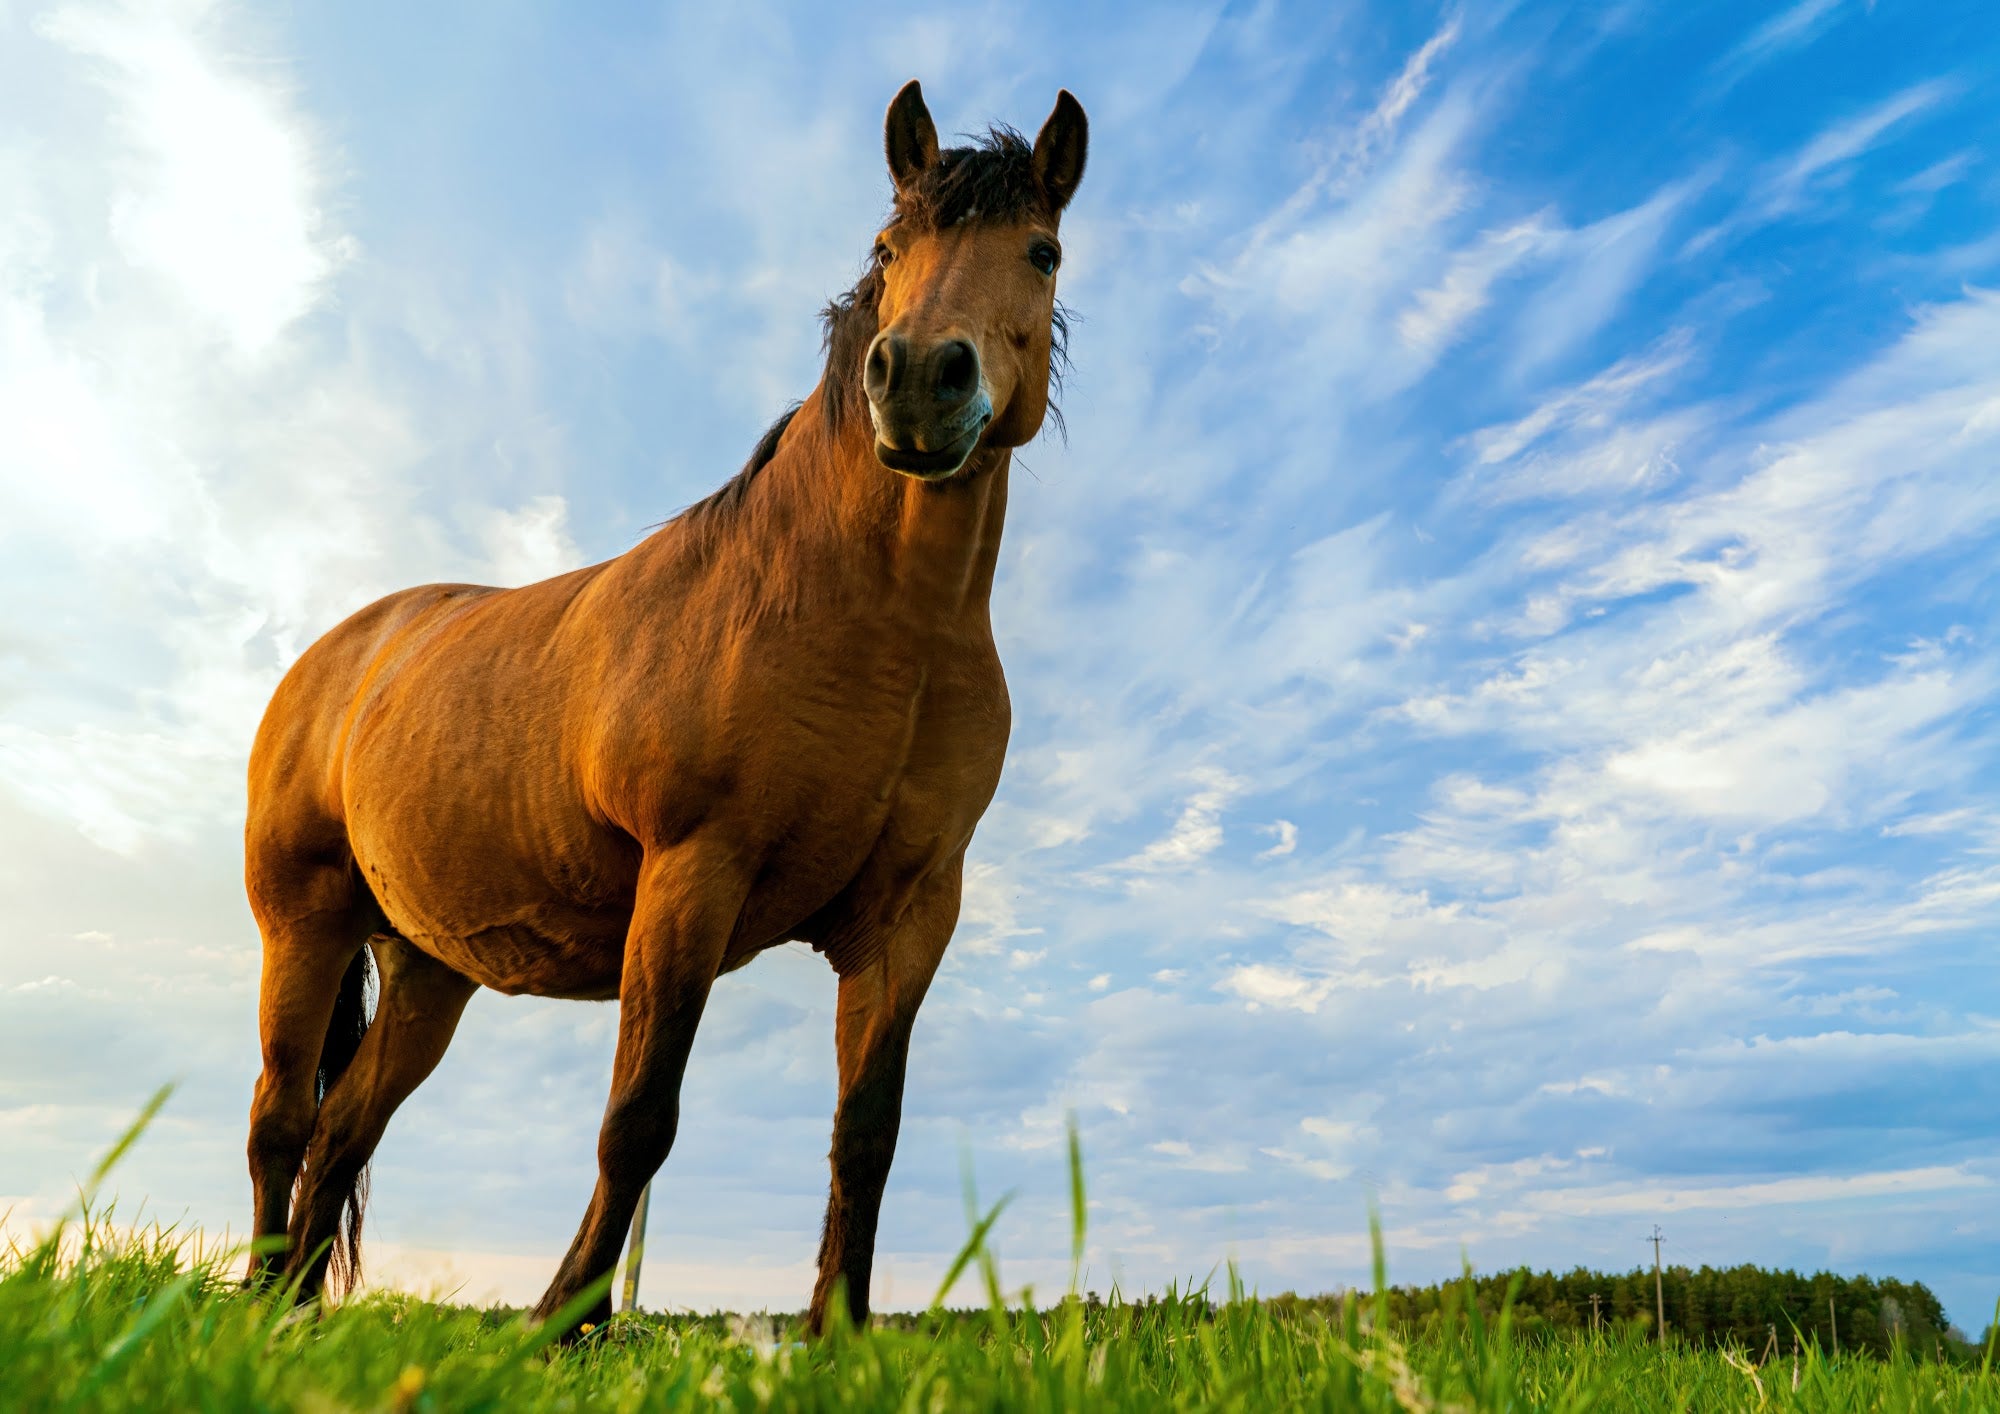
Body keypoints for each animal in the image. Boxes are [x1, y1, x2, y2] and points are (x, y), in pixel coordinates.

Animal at [240, 79, 1087, 1335]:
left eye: (1041, 250)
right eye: (889, 248)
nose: (919, 382)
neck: (874, 622)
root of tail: (339, 653)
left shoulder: (909, 917)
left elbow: (865, 1137)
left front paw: (839, 1336)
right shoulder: (693, 872)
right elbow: (638, 1118)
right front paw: (562, 1323)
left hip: (429, 970)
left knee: (342, 1131)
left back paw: (292, 1317)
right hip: (302, 924)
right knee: (279, 1122)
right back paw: (249, 1303)